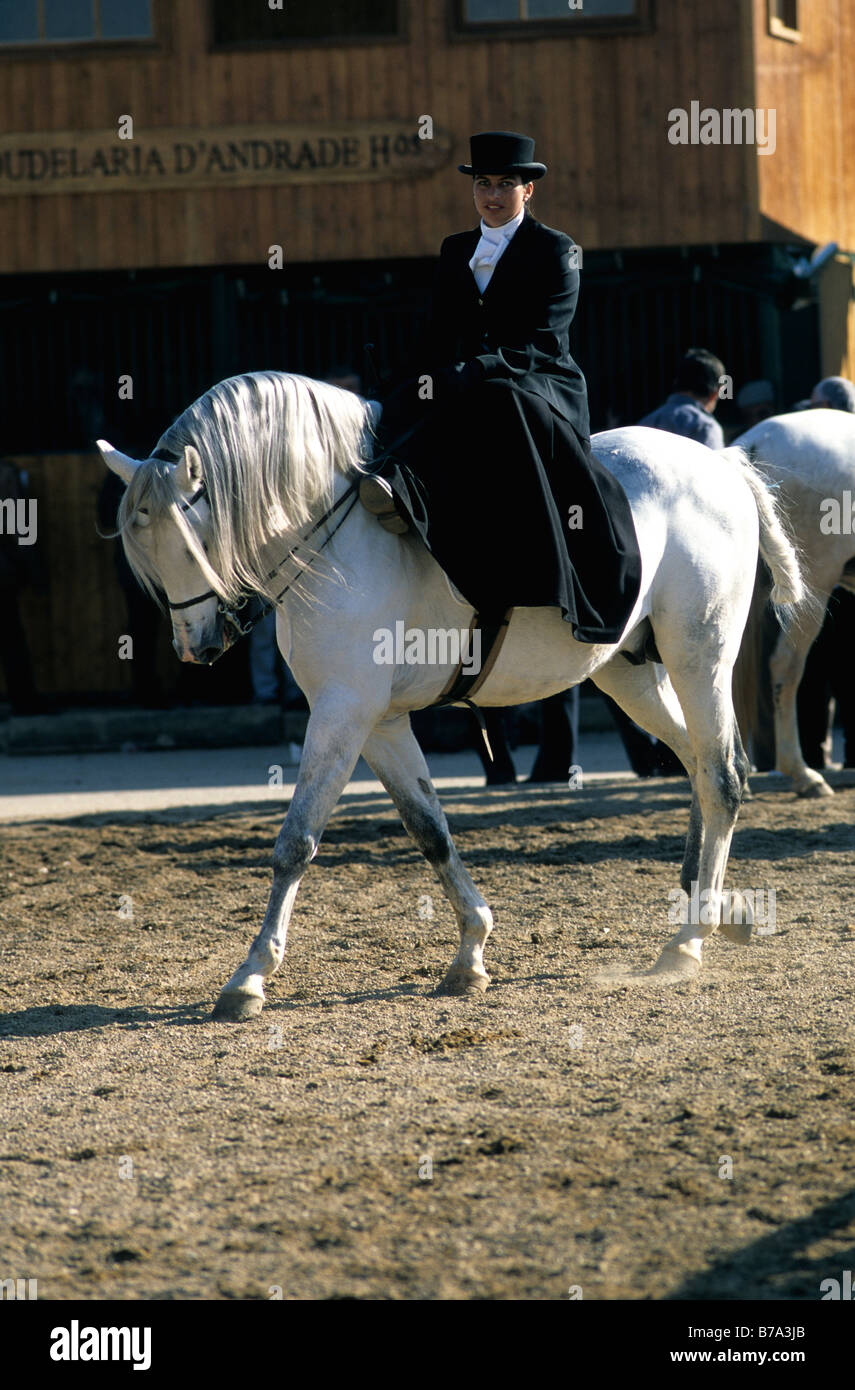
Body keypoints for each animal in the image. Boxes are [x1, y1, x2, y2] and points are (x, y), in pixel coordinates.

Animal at [97, 372, 806, 1023]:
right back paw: (711, 905)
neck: (332, 538)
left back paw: (689, 939)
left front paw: (249, 977)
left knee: (721, 777)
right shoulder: (378, 723)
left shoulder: (341, 712)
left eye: (194, 542)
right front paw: (471, 953)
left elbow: (296, 841)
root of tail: (718, 464)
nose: (196, 646)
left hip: (699, 658)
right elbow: (429, 830)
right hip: (629, 672)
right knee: (700, 764)